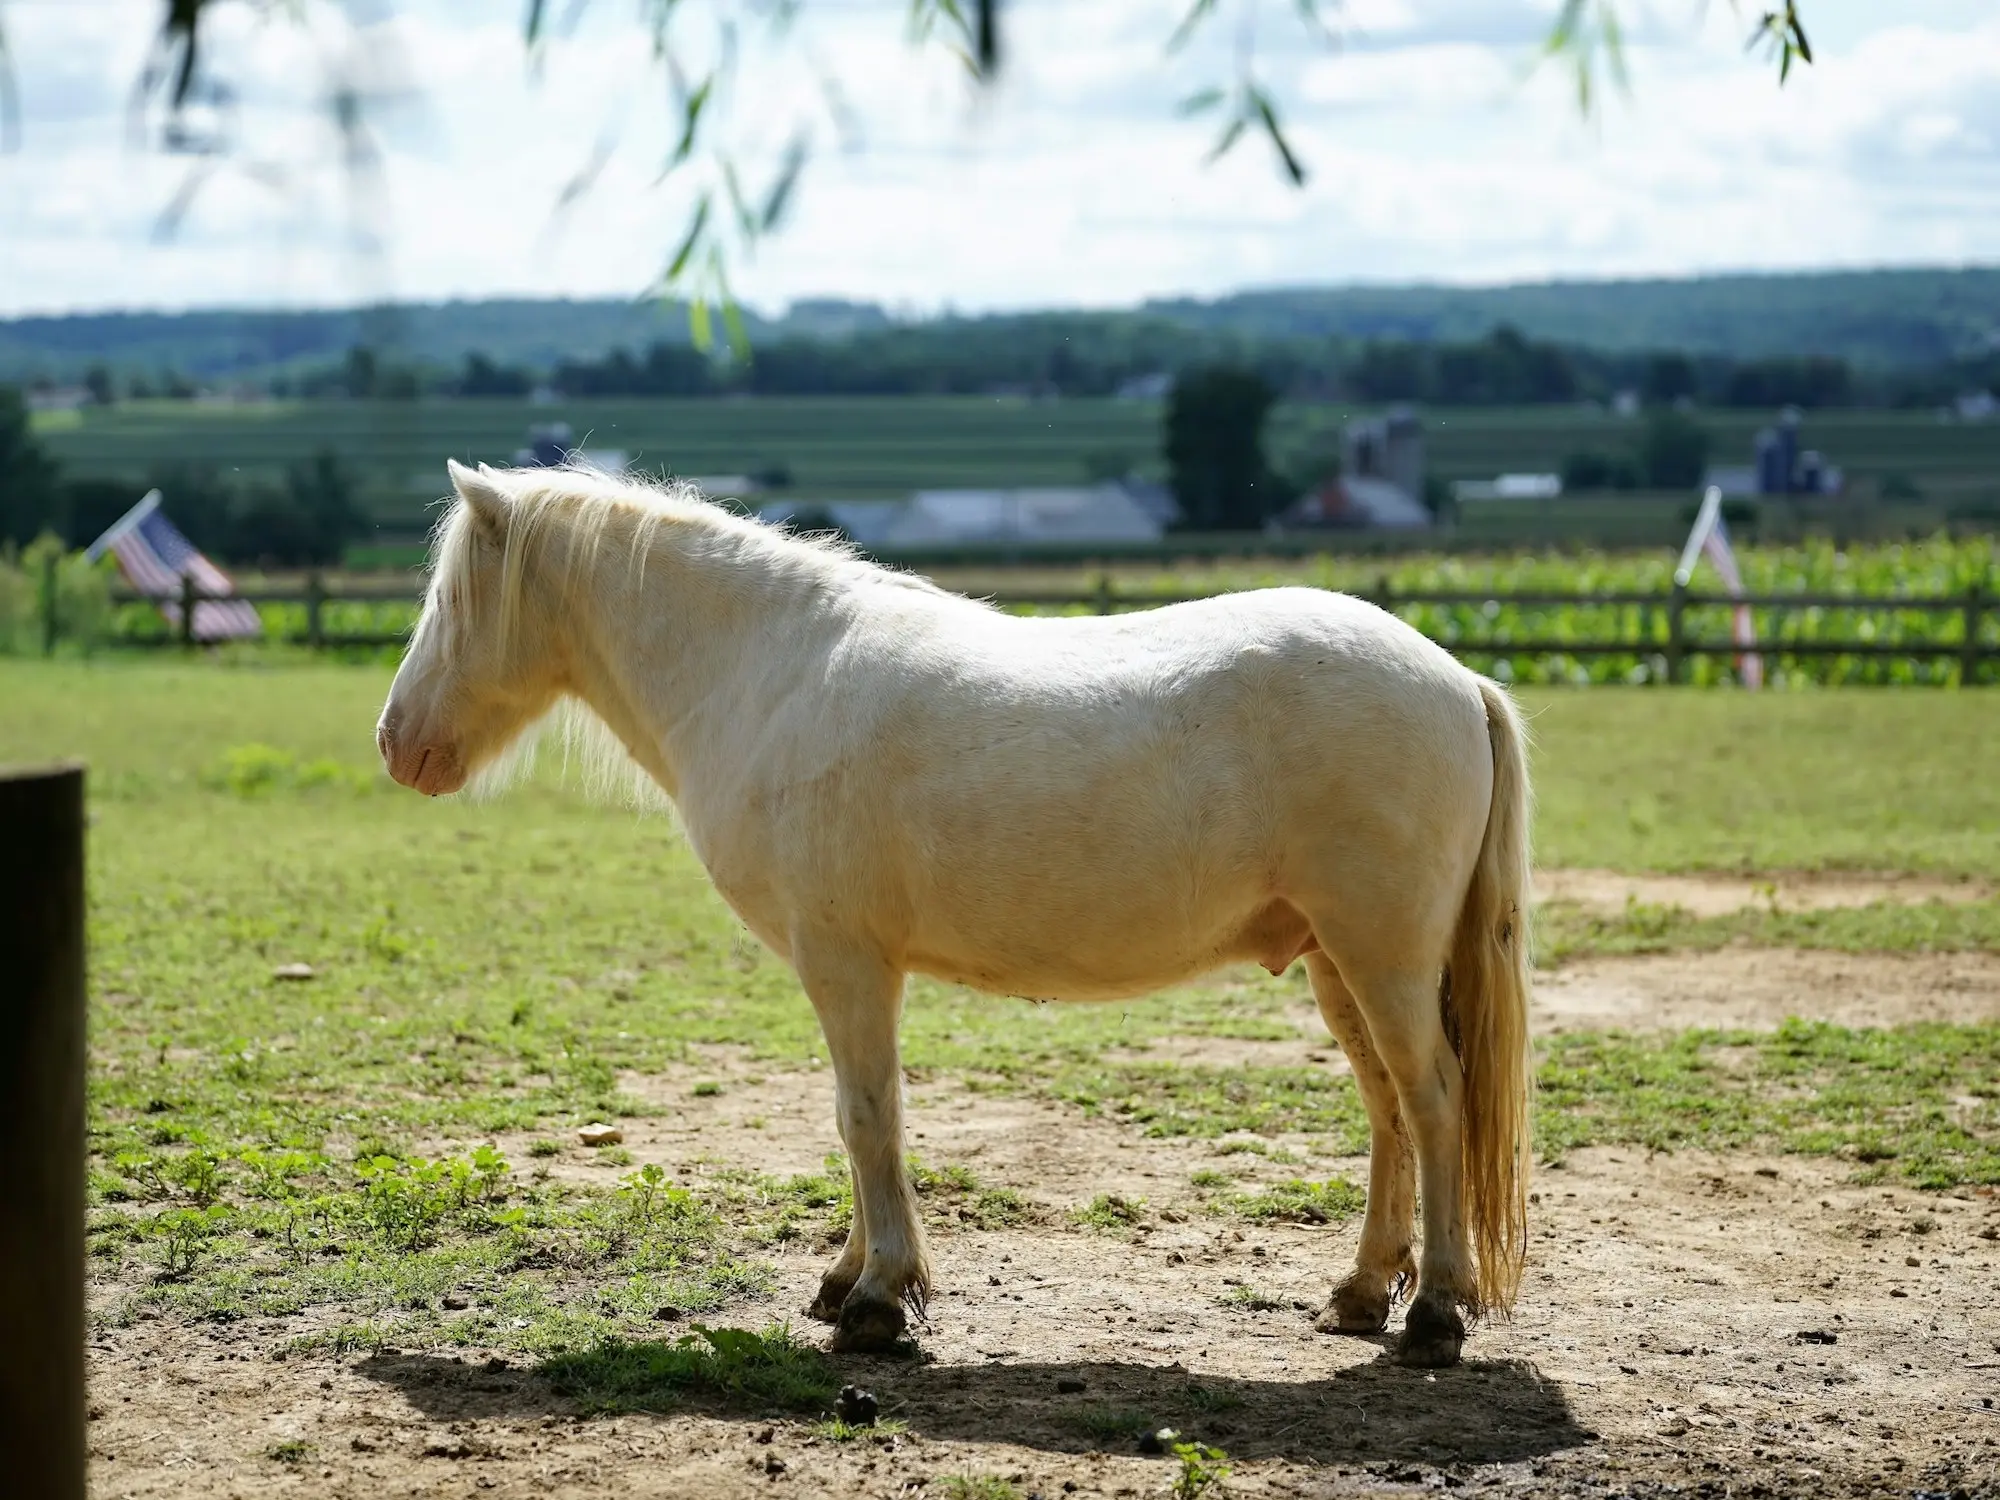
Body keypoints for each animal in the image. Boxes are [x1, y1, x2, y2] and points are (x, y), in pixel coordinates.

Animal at [376, 464, 1528, 1368]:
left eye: (449, 596)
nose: (396, 744)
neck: (770, 676)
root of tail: (1456, 676)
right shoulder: (845, 968)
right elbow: (858, 1122)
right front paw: (845, 1281)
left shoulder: (845, 962)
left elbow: (866, 1117)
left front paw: (879, 1301)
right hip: (1339, 960)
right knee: (1387, 1108)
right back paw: (1359, 1293)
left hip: (1381, 956)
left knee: (1432, 1101)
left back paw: (1432, 1314)